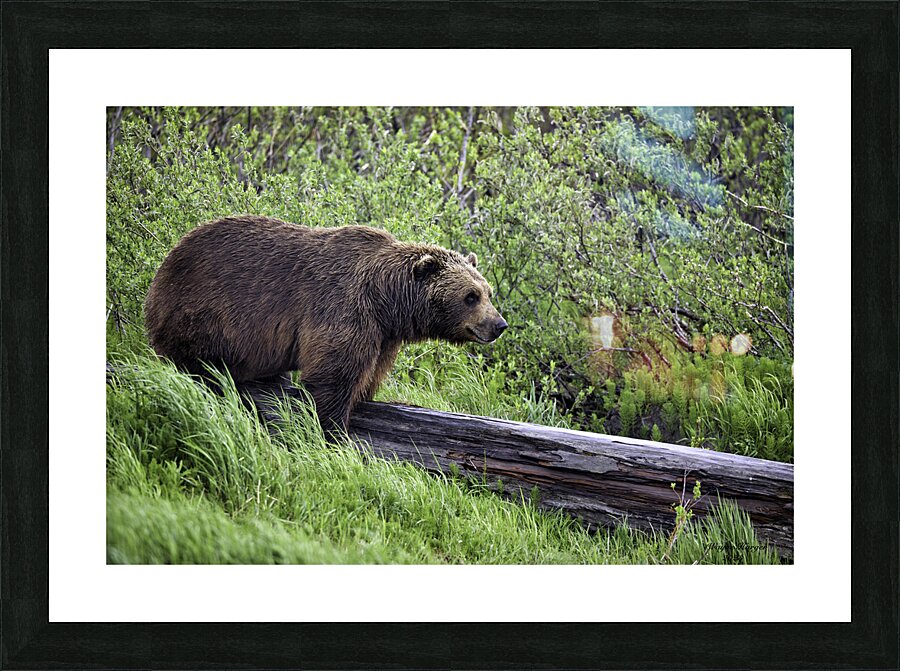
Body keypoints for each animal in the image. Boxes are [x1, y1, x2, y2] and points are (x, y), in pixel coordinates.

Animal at [144, 215, 508, 432]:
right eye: (471, 296)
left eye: (488, 292)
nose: (499, 324)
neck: (387, 299)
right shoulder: (343, 307)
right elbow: (333, 373)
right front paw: (333, 428)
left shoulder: (383, 333)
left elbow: (369, 371)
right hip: (205, 310)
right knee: (198, 360)